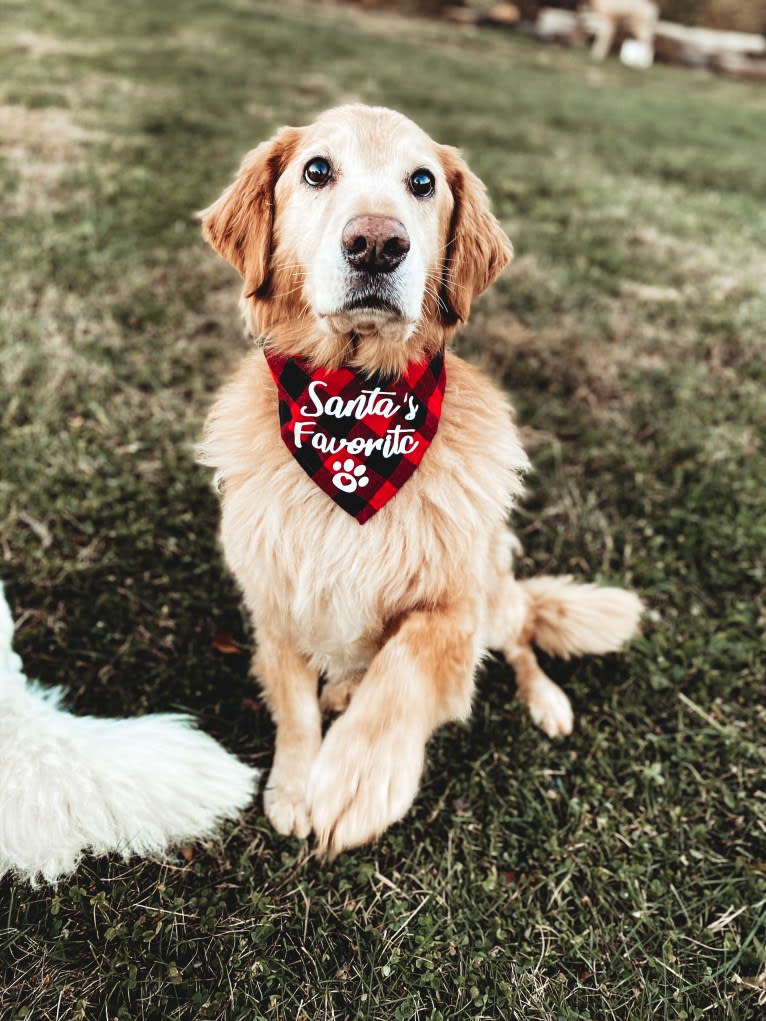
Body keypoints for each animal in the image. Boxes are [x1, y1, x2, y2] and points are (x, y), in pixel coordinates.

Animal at [198, 105, 641, 853]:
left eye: (423, 181)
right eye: (317, 170)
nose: (376, 243)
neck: (355, 412)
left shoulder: (455, 606)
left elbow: (406, 663)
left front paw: (357, 777)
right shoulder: (275, 600)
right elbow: (293, 703)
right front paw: (294, 785)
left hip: (496, 585)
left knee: (523, 637)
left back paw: (546, 700)